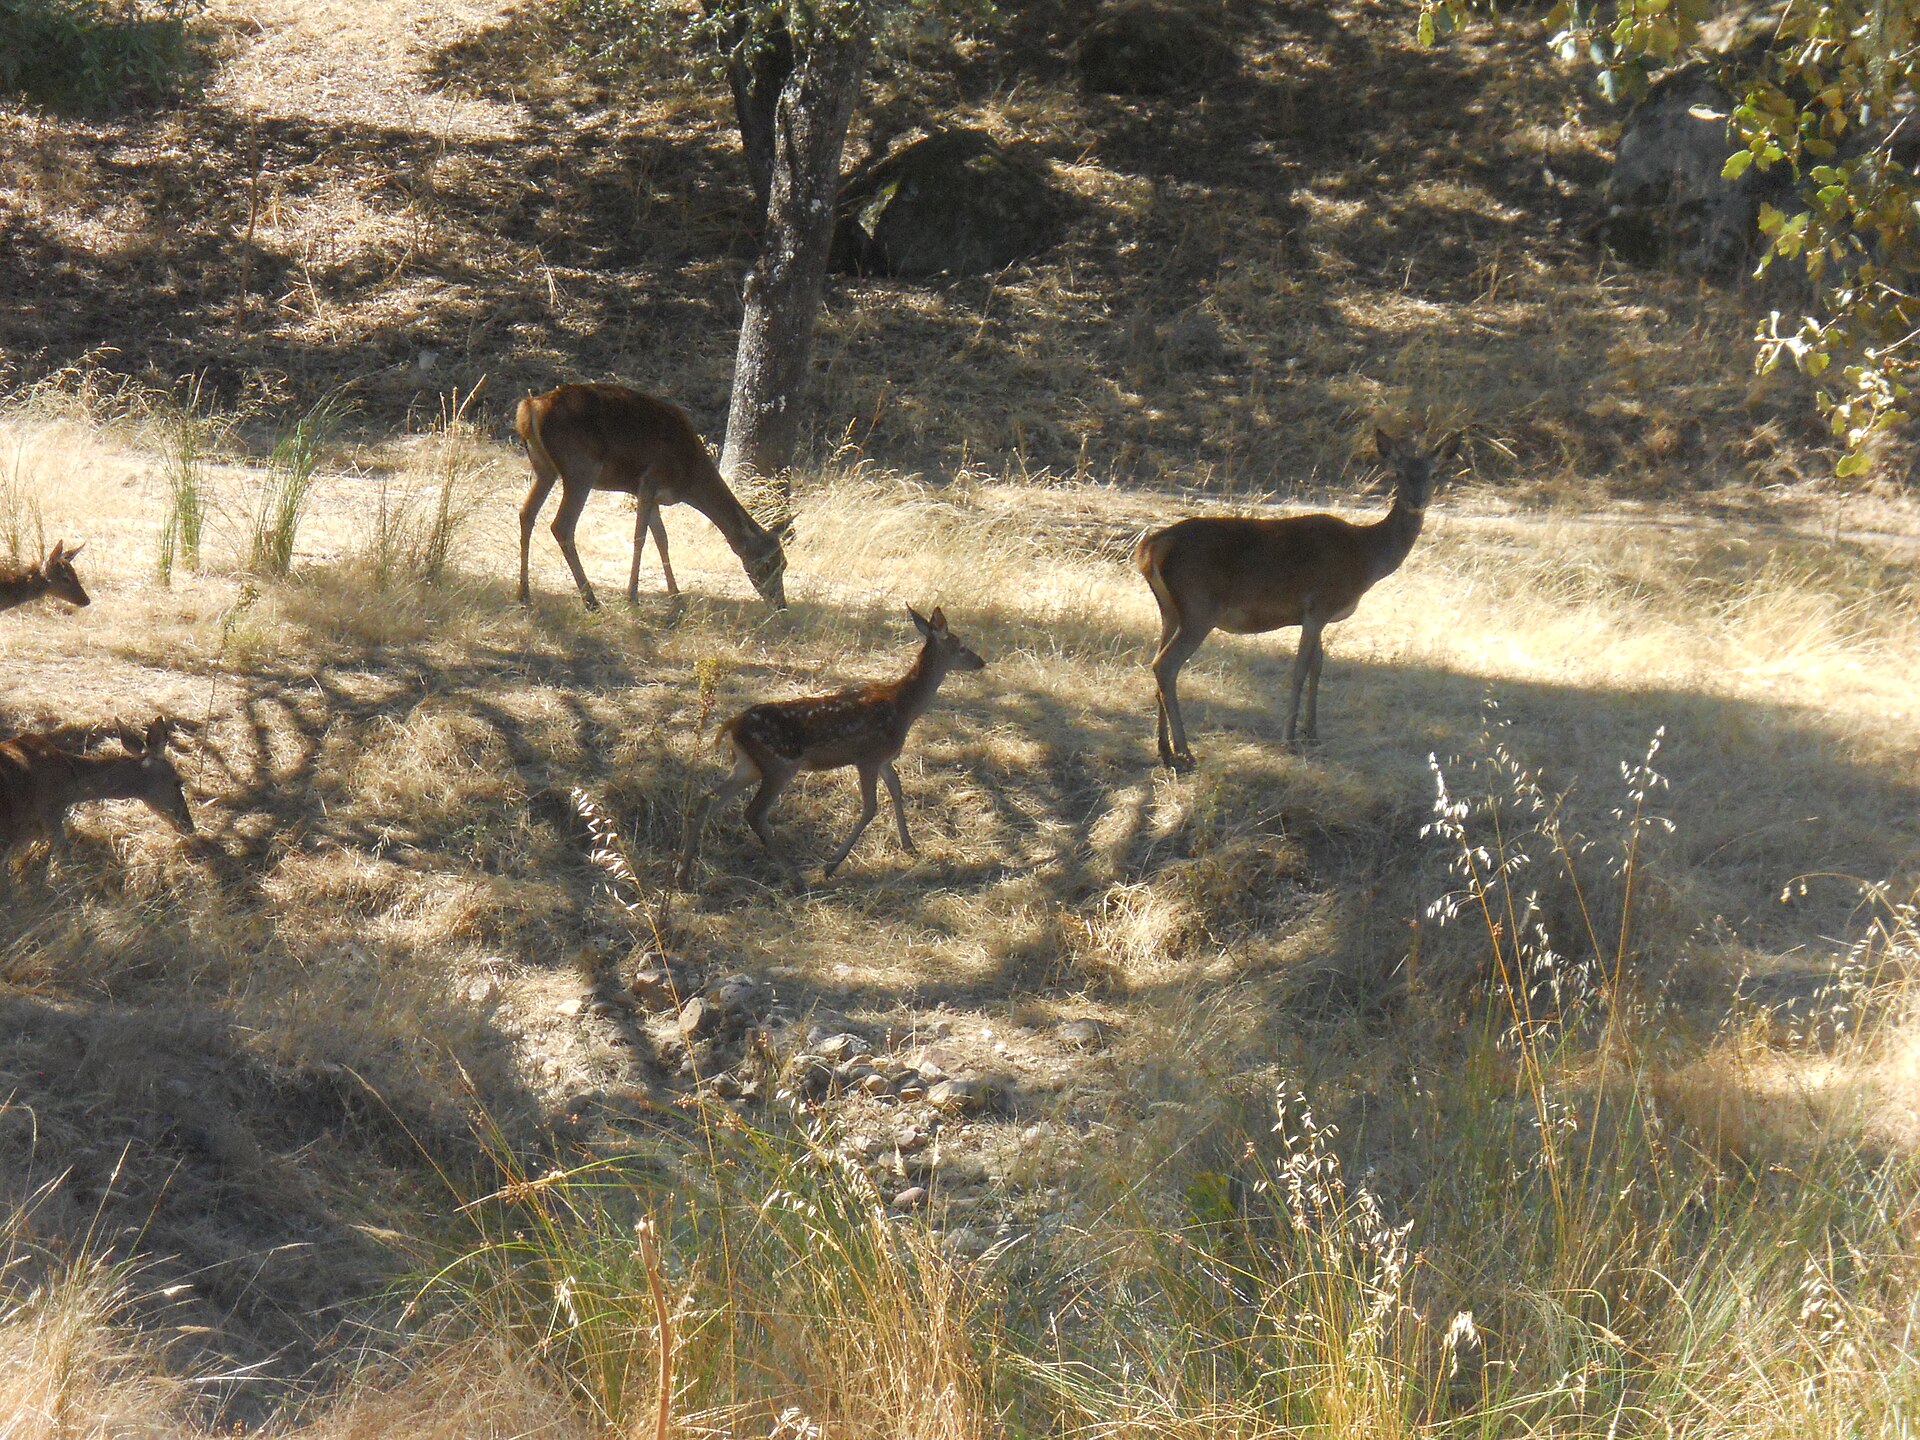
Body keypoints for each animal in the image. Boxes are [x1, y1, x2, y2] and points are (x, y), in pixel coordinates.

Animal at [516, 383, 791, 611]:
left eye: (784, 564)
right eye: (768, 564)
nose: (780, 605)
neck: (689, 477)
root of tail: (530, 408)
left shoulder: (654, 496)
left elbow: (662, 539)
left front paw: (676, 597)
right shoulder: (649, 481)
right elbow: (640, 538)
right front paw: (633, 596)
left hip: (545, 469)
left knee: (526, 513)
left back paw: (524, 594)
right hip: (581, 468)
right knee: (561, 525)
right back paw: (590, 600)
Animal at [677, 606, 987, 886]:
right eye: (961, 647)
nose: (981, 662)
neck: (904, 707)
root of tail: (732, 724)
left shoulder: (884, 758)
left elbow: (897, 791)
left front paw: (909, 845)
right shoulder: (867, 756)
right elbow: (870, 807)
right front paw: (831, 865)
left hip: (748, 765)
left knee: (709, 799)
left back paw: (683, 875)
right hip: (779, 764)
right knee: (754, 812)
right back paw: (795, 877)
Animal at [1136, 428, 1462, 770]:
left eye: (1434, 473)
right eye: (1398, 473)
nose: (1417, 500)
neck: (1366, 557)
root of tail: (1150, 548)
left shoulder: (1316, 615)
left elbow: (1318, 666)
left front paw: (1312, 733)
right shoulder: (1319, 604)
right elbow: (1300, 668)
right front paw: (1289, 738)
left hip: (1170, 610)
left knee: (1157, 660)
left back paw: (1164, 749)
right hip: (1200, 606)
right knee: (1165, 664)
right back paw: (1185, 751)